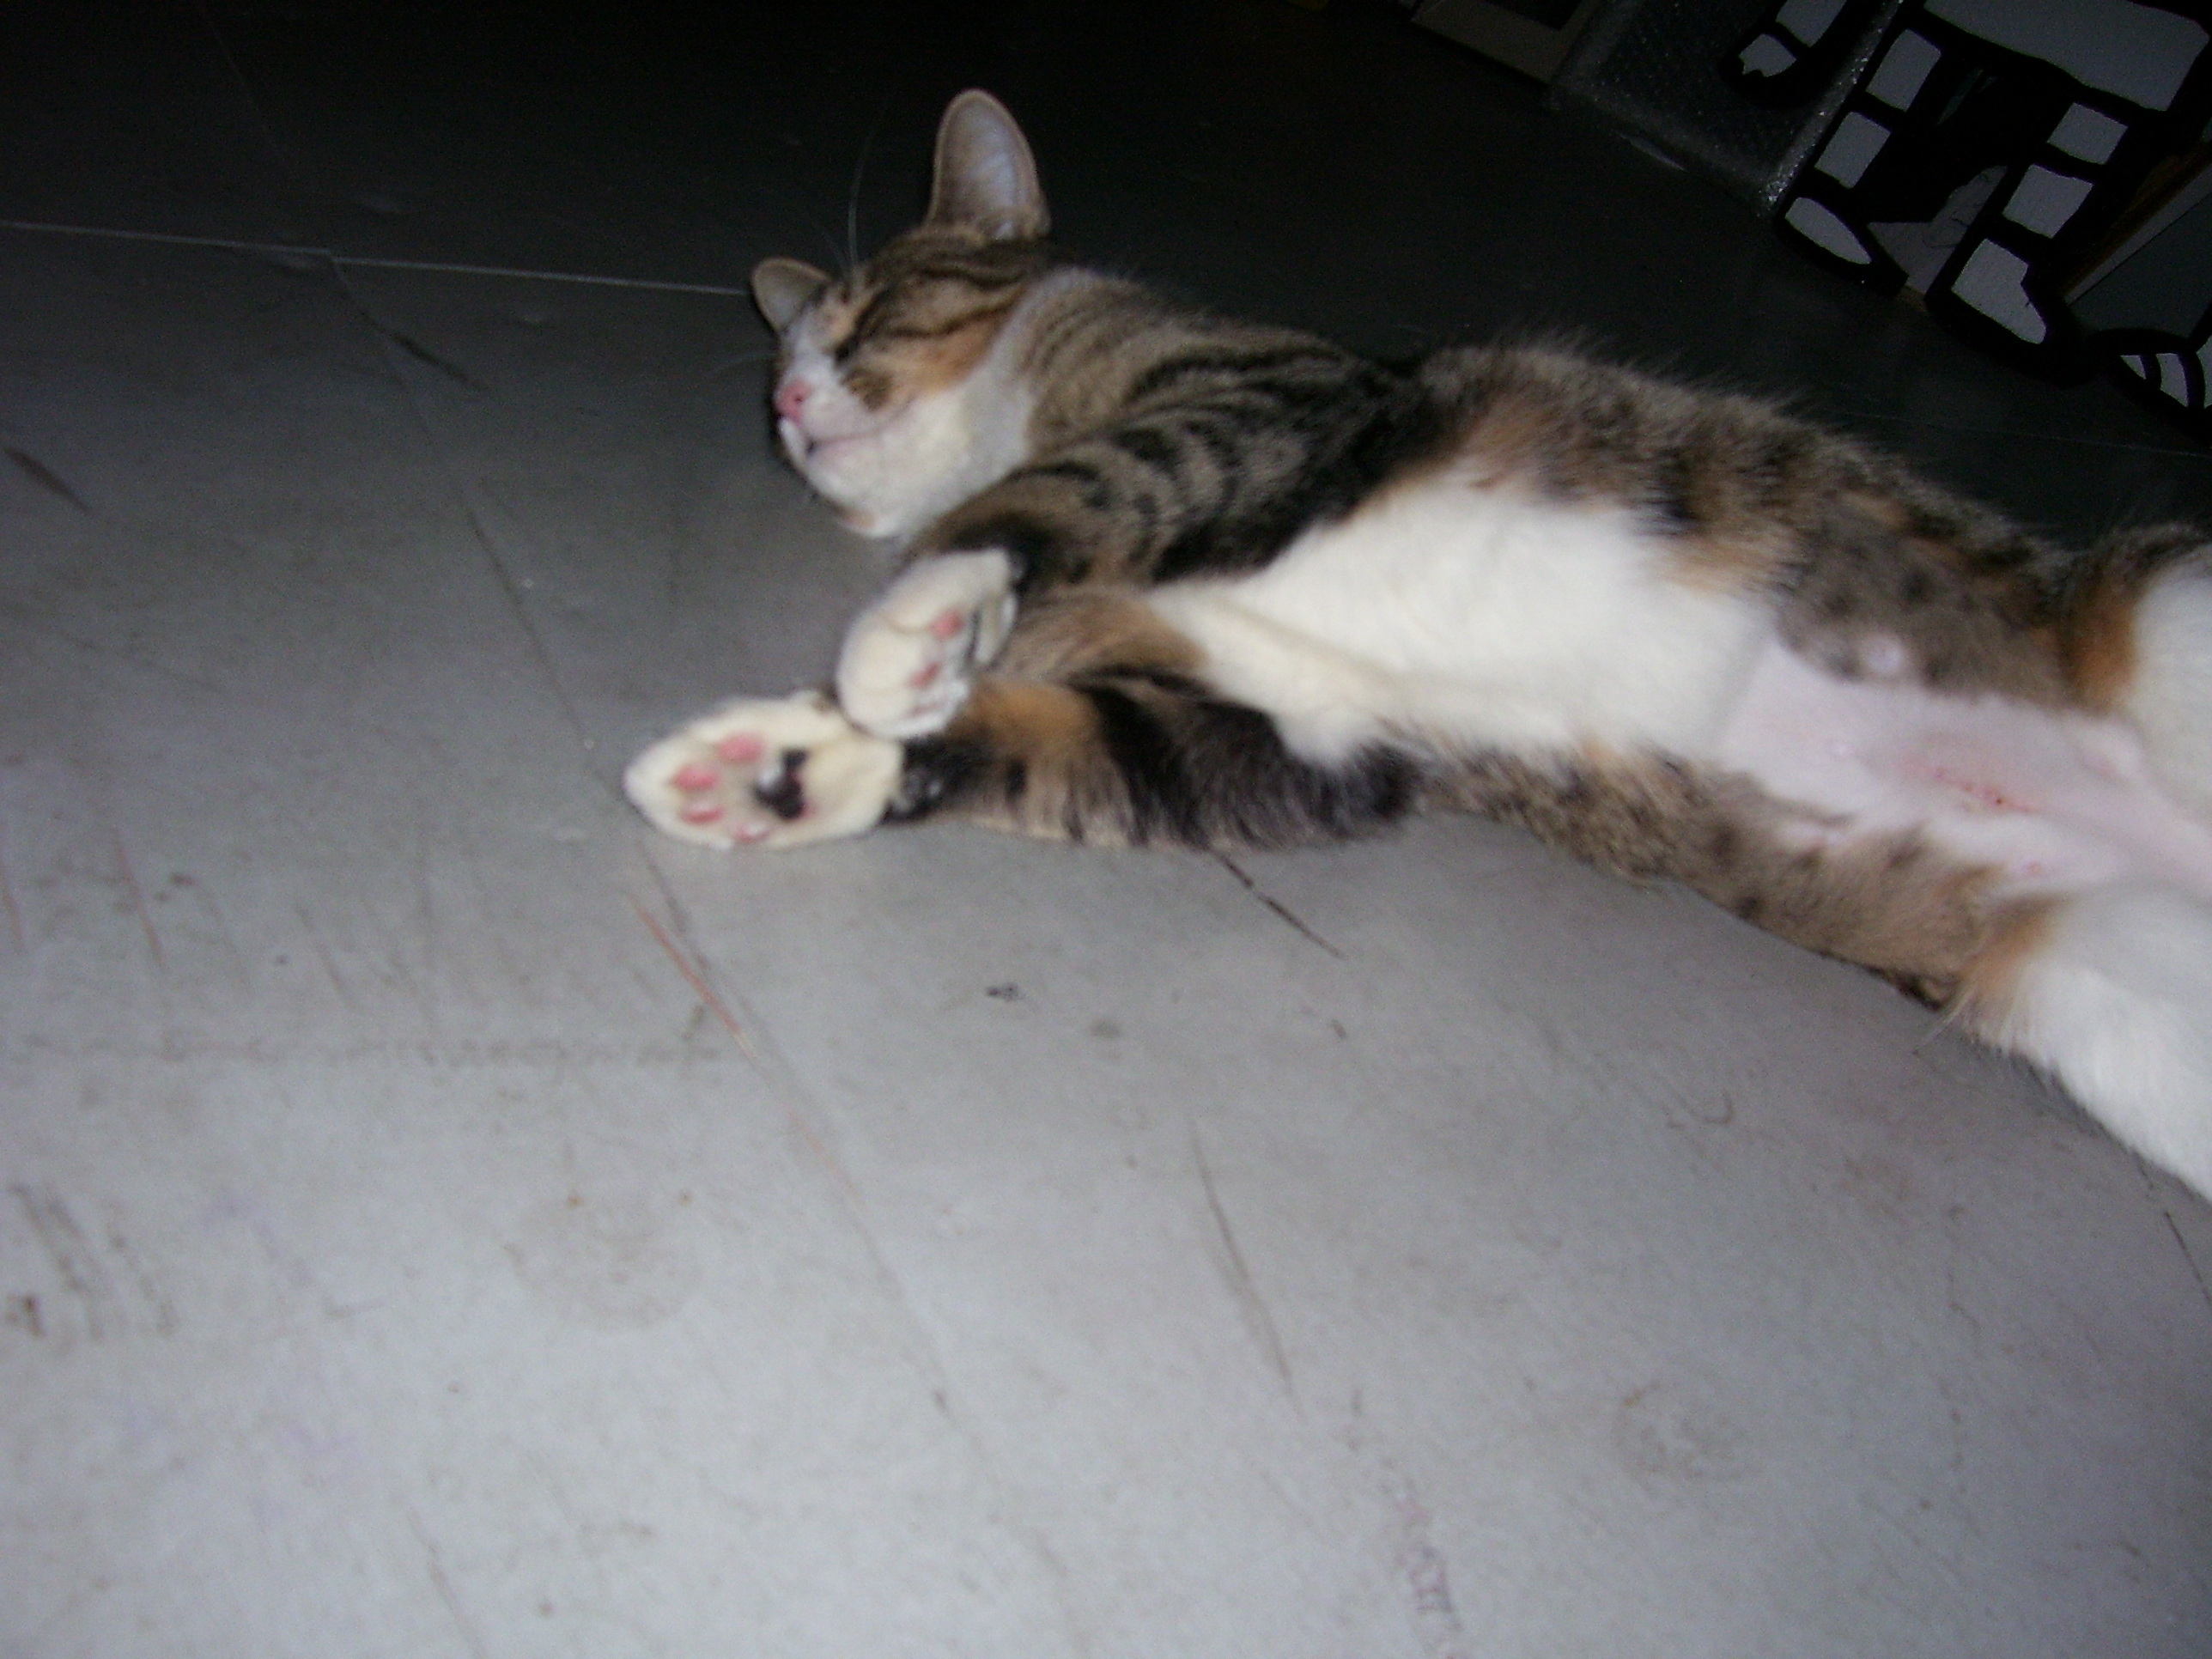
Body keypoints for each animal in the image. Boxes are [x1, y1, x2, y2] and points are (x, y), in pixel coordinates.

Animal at [623, 90, 2212, 1203]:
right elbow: (1050, 744)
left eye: (865, 316)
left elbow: (1060, 493)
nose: (789, 403)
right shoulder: (1302, 734)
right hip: (2106, 1011)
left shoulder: (1270, 401)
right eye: (779, 370)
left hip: (2172, 608)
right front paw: (788, 772)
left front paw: (915, 620)